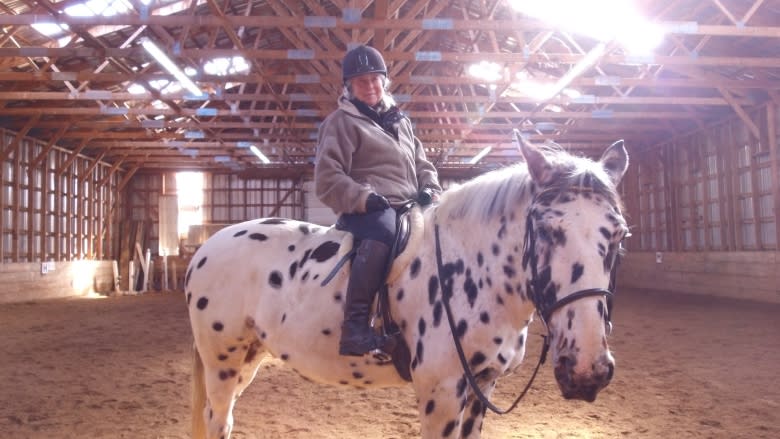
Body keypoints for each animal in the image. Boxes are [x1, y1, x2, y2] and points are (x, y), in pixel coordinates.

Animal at [186, 138, 632, 439]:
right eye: (545, 229)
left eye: (619, 235)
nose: (586, 371)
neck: (474, 269)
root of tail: (205, 249)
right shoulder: (442, 392)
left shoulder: (482, 385)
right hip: (222, 361)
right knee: (218, 420)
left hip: (248, 358)